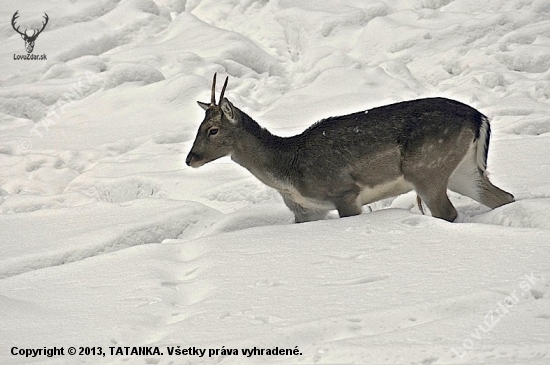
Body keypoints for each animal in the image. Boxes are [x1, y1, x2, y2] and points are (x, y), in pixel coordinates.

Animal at [187, 73, 516, 222]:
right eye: (198, 126)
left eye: (212, 129)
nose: (190, 159)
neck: (289, 172)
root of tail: (480, 117)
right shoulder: (306, 211)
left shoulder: (344, 192)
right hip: (463, 170)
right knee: (505, 197)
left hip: (427, 167)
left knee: (448, 212)